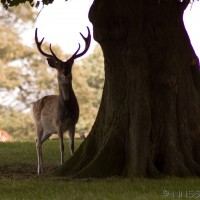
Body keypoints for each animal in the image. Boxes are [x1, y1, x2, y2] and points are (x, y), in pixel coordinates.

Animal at [33, 27, 91, 175]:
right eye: (59, 64)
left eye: (70, 64)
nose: (65, 72)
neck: (66, 110)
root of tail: (34, 104)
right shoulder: (58, 123)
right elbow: (62, 146)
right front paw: (62, 164)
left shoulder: (73, 123)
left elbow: (71, 145)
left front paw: (72, 161)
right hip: (38, 124)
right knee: (37, 142)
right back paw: (39, 170)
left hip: (48, 130)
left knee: (39, 142)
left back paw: (43, 169)